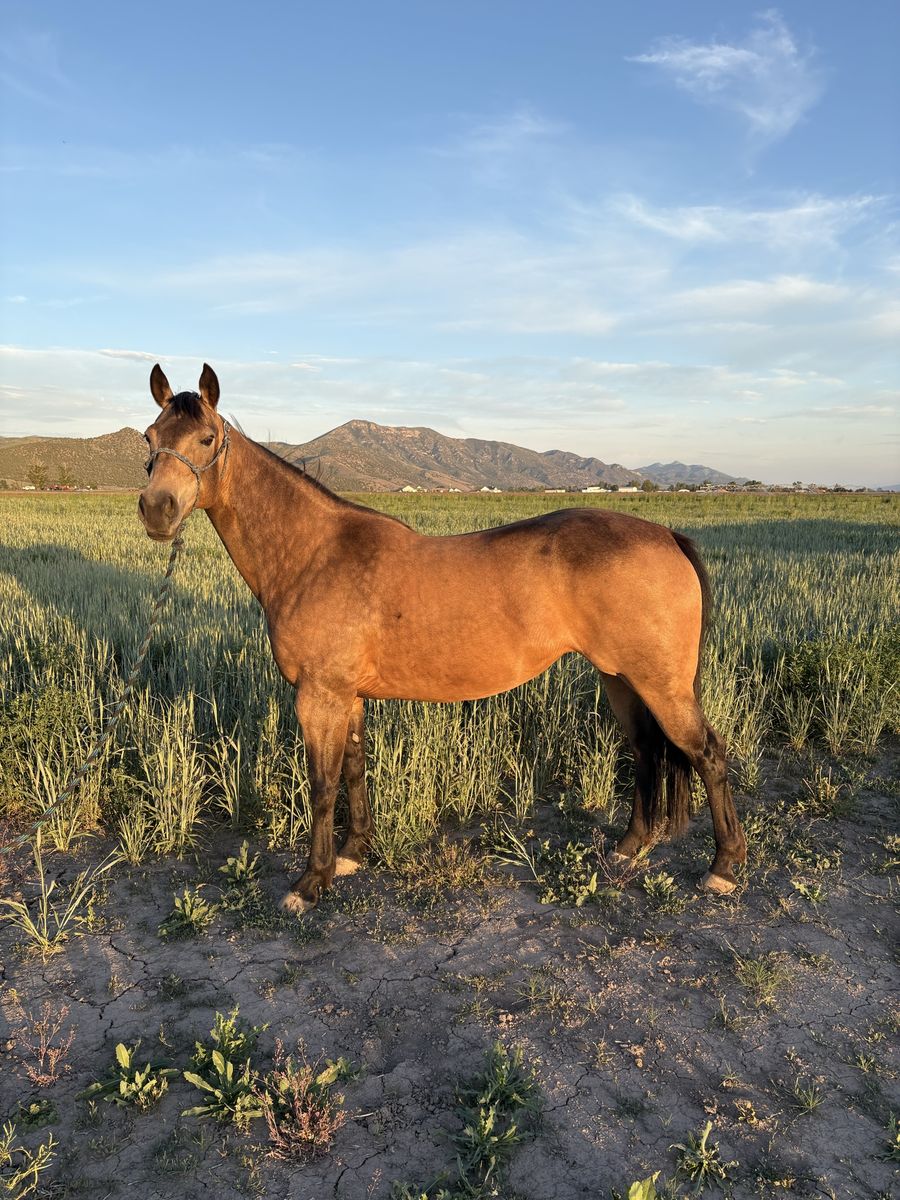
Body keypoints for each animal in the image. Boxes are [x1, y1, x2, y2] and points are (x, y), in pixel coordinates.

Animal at [139, 364, 746, 912]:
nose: (156, 510)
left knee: (708, 753)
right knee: (645, 750)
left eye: (206, 438)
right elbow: (354, 771)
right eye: (149, 437)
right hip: (621, 678)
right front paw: (353, 855)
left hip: (661, 684)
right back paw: (628, 847)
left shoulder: (319, 697)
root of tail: (665, 534)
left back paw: (724, 867)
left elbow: (322, 784)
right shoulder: (347, 697)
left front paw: (311, 883)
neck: (315, 554)